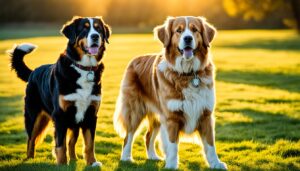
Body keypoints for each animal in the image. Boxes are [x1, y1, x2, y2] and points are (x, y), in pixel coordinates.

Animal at [8, 16, 110, 166]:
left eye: (98, 29)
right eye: (84, 28)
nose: (95, 36)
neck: (84, 68)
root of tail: (33, 72)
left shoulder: (91, 115)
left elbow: (89, 143)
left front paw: (92, 162)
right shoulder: (60, 115)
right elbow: (60, 144)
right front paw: (62, 164)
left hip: (74, 121)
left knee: (71, 142)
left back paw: (73, 159)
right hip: (34, 116)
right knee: (31, 139)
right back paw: (30, 159)